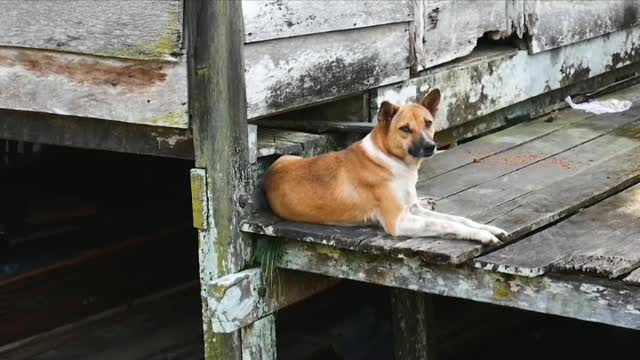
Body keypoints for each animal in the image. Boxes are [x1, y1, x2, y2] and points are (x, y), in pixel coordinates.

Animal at [262, 88, 508, 245]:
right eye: (405, 129)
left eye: (428, 123)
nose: (431, 147)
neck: (390, 159)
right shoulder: (400, 222)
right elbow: (447, 226)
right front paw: (482, 236)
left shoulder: (412, 210)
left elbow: (458, 219)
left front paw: (488, 228)